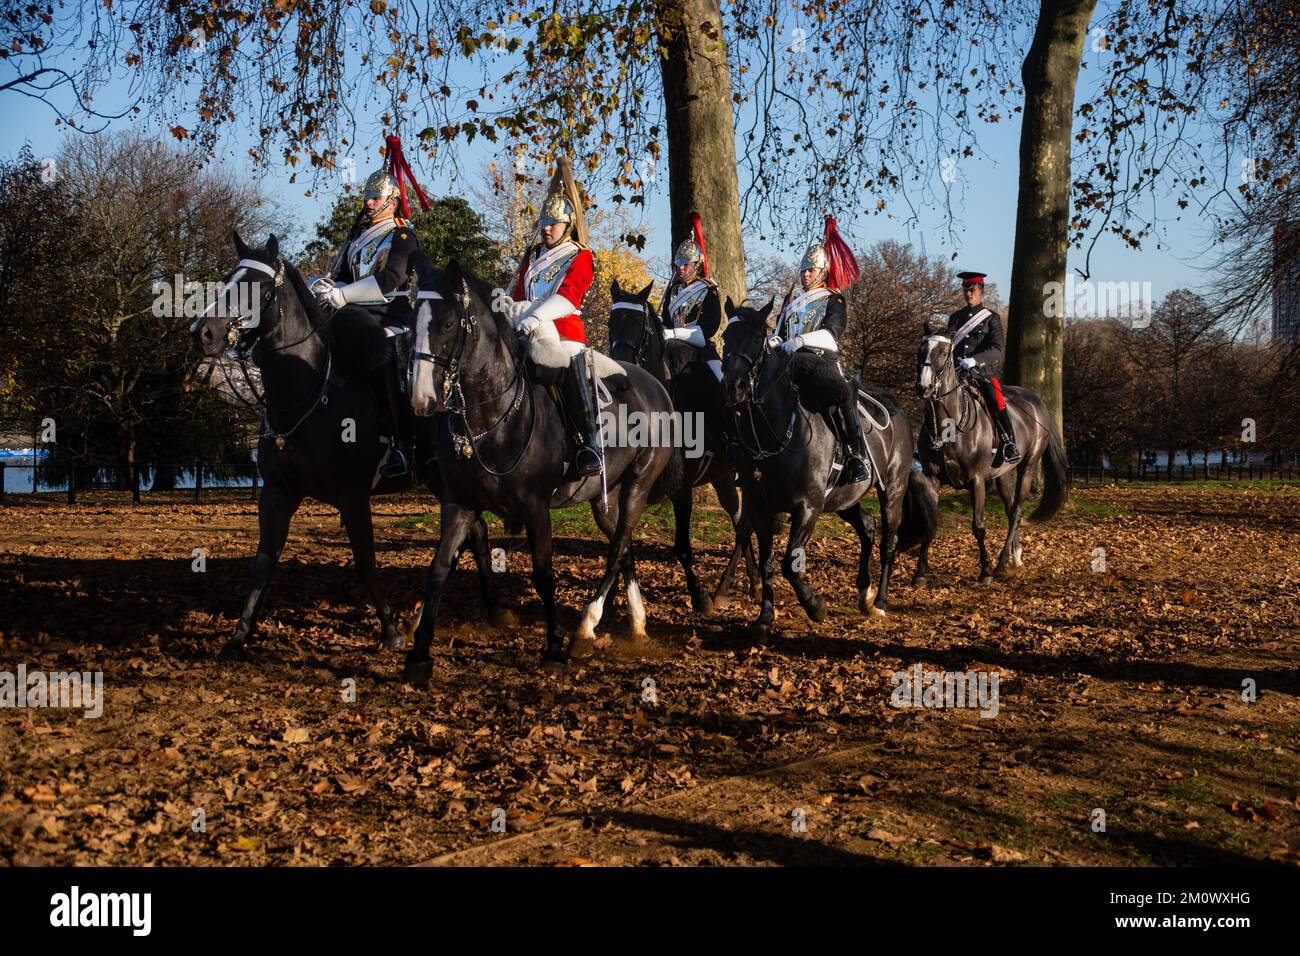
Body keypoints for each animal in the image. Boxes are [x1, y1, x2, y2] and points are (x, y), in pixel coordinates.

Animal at [189, 235, 499, 660]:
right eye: (226, 280)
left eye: (259, 287)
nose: (203, 333)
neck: (308, 392)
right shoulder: (277, 493)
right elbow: (263, 562)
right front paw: (239, 636)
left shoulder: (353, 496)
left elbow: (365, 562)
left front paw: (390, 631)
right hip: (439, 478)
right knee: (475, 531)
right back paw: (486, 610)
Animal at [408, 257, 681, 686]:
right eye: (413, 320)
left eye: (449, 324)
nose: (421, 398)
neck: (492, 417)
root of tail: (655, 385)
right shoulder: (458, 504)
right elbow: (438, 569)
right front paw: (420, 651)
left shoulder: (536, 508)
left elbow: (543, 573)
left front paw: (554, 647)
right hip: (605, 498)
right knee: (625, 547)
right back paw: (636, 623)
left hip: (639, 483)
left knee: (618, 547)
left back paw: (586, 625)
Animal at [608, 280, 759, 616]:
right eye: (612, 323)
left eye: (639, 325)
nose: (620, 370)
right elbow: (622, 541)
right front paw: (608, 600)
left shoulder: (681, 487)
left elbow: (682, 546)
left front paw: (699, 596)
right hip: (724, 476)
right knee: (739, 517)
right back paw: (753, 581)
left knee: (748, 520)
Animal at [722, 303, 935, 639]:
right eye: (726, 336)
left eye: (757, 337)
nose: (733, 387)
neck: (776, 433)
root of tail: (898, 409)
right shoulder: (759, 507)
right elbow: (769, 561)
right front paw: (765, 616)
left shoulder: (808, 507)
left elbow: (789, 563)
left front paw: (815, 607)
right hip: (844, 499)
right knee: (868, 527)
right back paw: (864, 592)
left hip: (892, 490)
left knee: (889, 540)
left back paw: (880, 601)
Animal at [915, 323, 1066, 582]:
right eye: (921, 349)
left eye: (944, 352)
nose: (923, 387)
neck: (948, 426)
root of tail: (1038, 401)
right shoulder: (932, 479)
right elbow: (929, 523)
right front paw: (920, 572)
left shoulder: (977, 481)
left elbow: (978, 526)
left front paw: (985, 569)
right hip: (1003, 474)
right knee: (1009, 508)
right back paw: (1016, 557)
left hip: (1028, 466)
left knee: (1017, 511)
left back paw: (1002, 562)